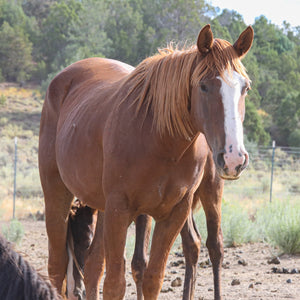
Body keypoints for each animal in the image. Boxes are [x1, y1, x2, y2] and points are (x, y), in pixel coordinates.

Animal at [38, 24, 253, 300]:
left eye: (245, 88)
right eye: (203, 86)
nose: (233, 157)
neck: (161, 139)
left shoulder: (173, 213)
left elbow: (152, 278)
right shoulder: (119, 209)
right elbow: (115, 284)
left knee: (94, 266)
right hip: (57, 195)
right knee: (57, 267)